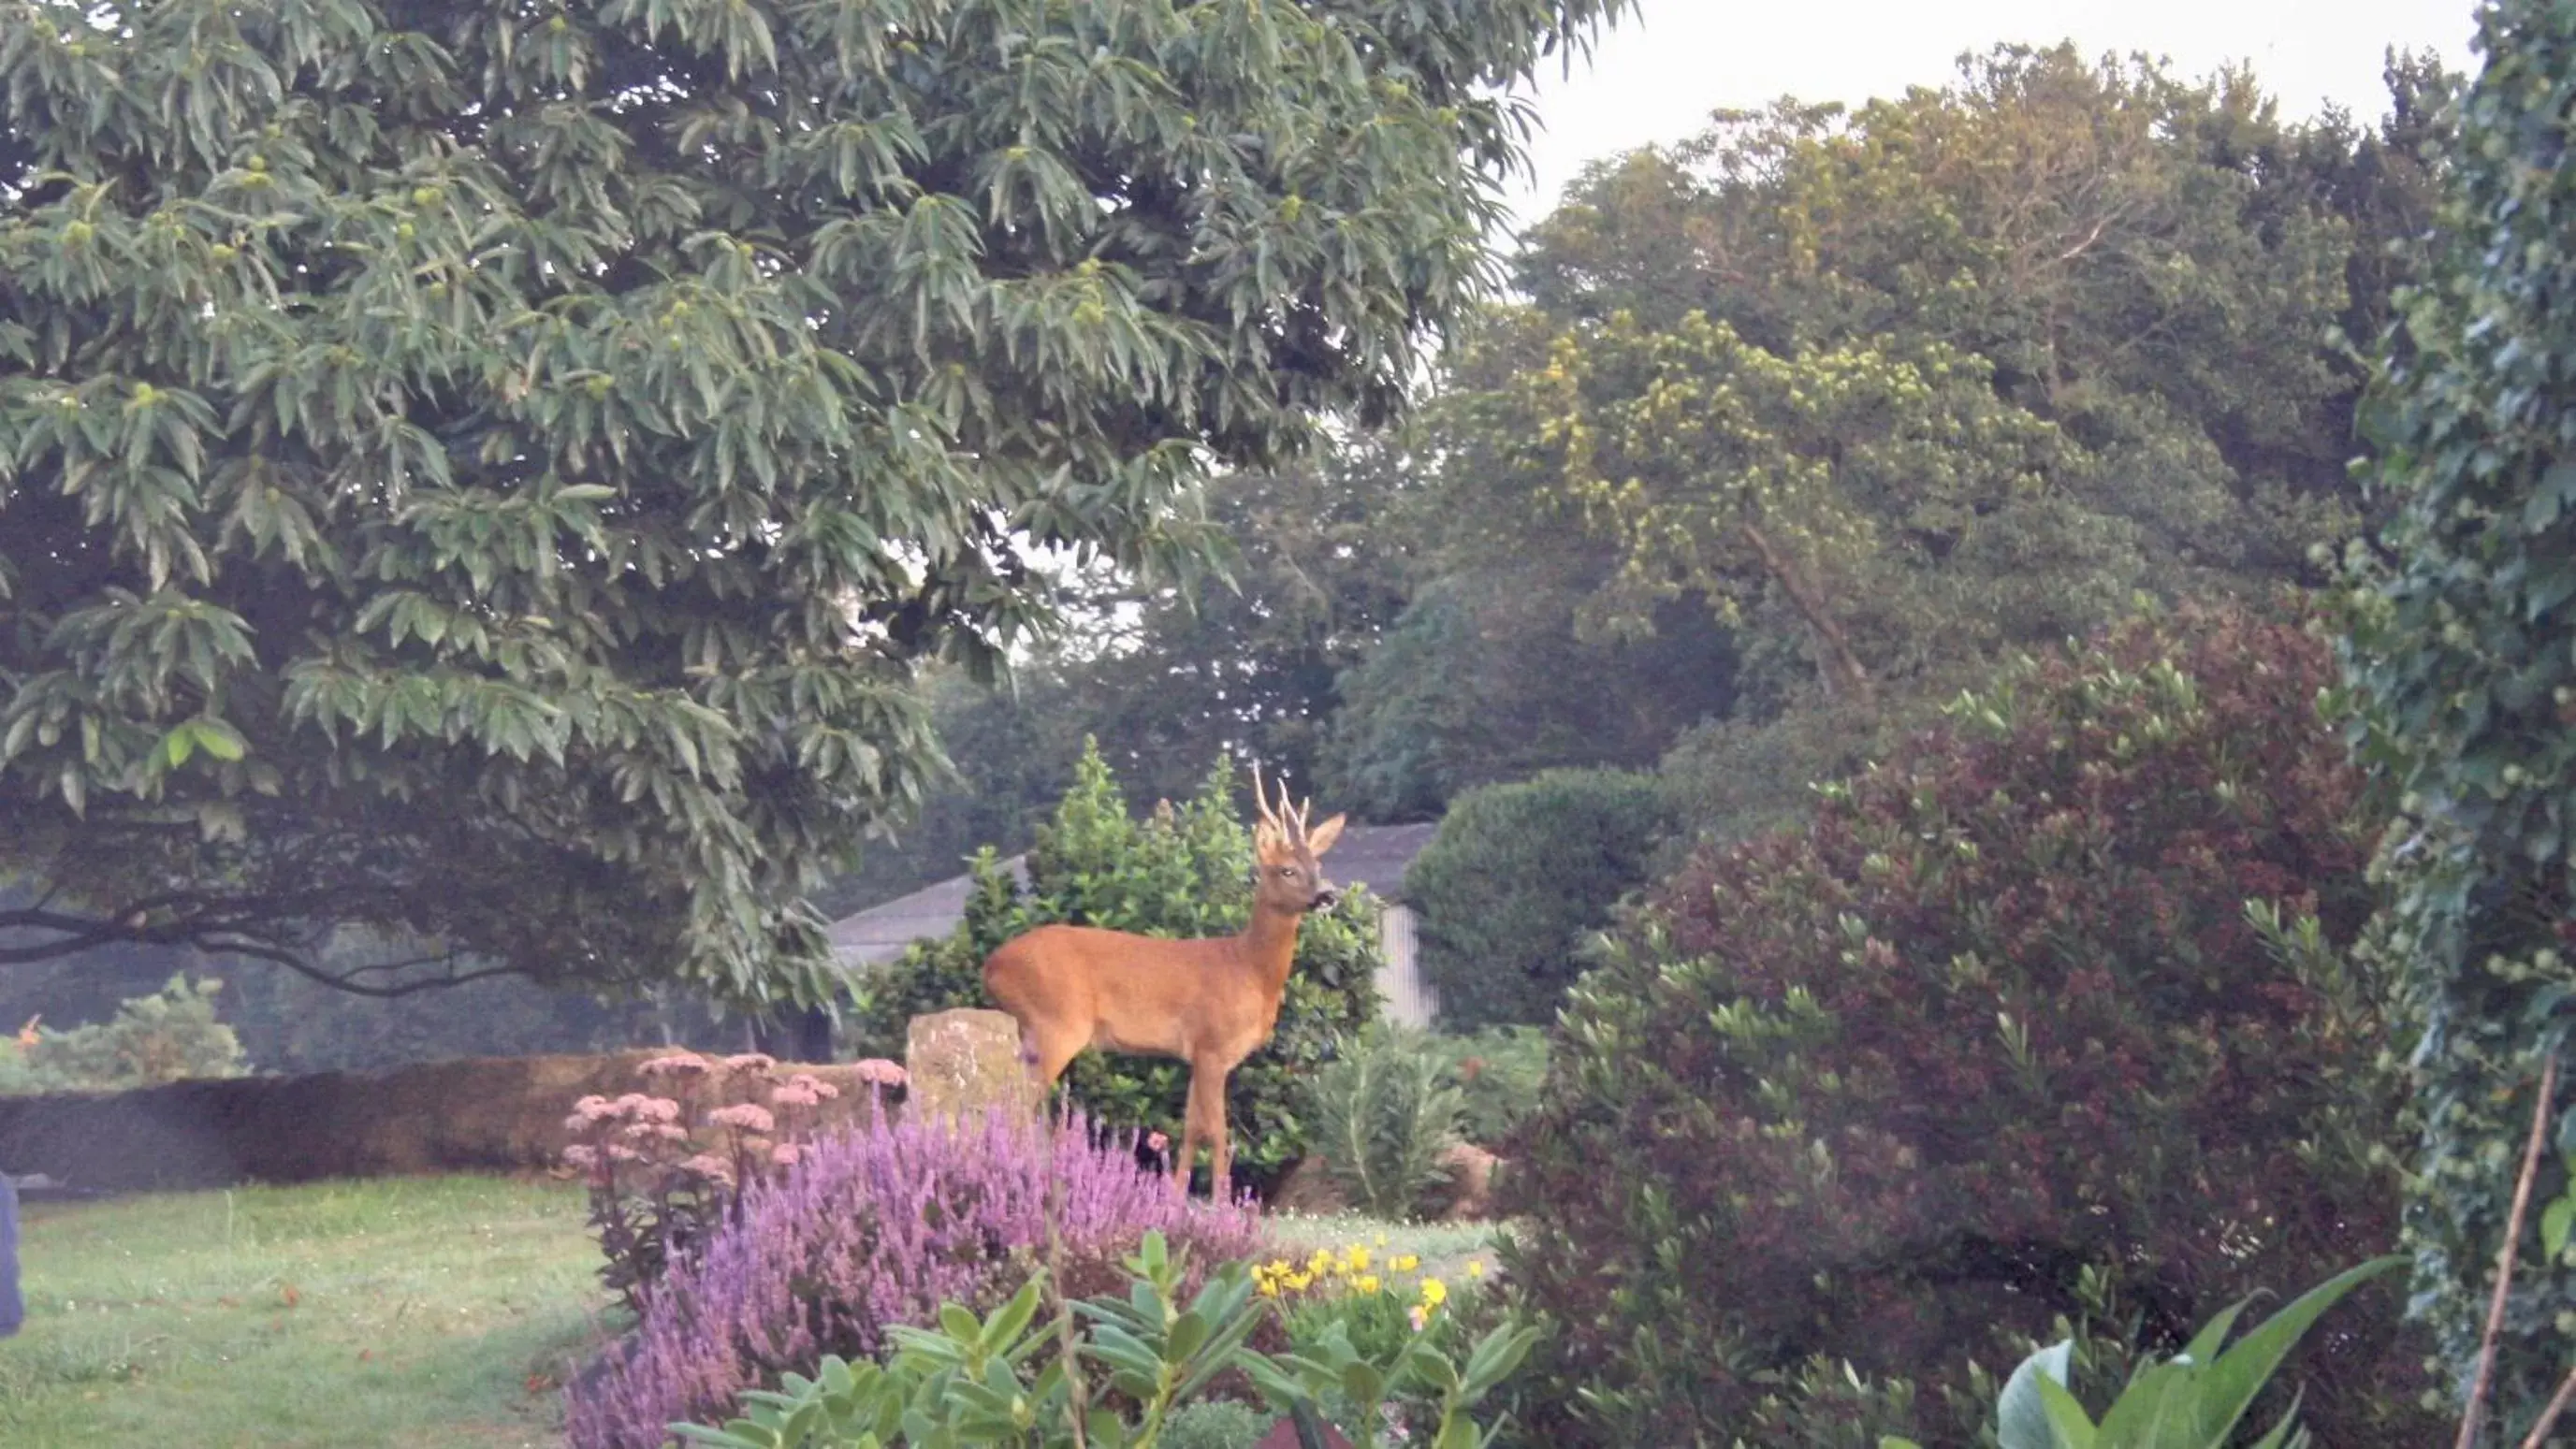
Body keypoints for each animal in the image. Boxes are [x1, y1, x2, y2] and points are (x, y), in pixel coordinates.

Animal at [979, 772, 1349, 1204]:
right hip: (1057, 1023)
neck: (1248, 970)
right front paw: (1222, 1203)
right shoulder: (1212, 1045)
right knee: (1016, 1101)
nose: (1327, 895)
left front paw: (1175, 1197)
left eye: (1317, 863)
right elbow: (1217, 1131)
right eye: (1287, 870)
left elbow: (1190, 1127)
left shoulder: (1194, 1054)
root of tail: (991, 965)